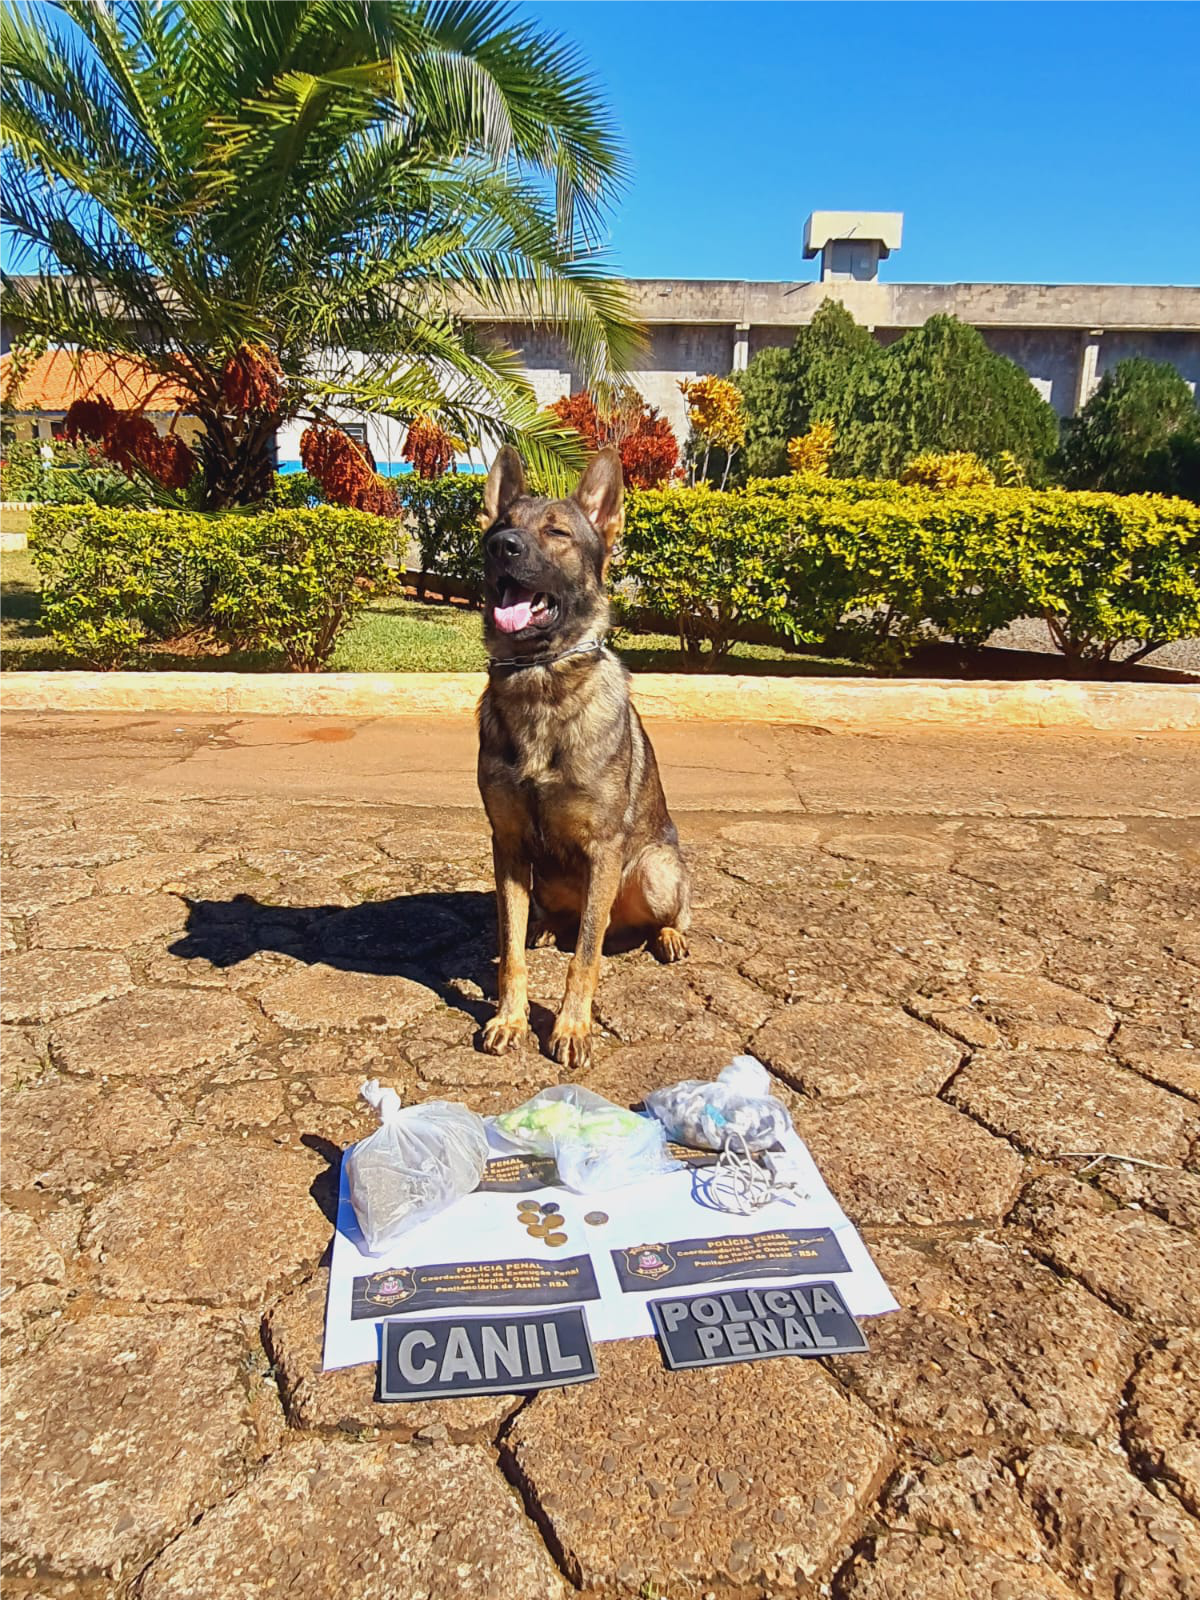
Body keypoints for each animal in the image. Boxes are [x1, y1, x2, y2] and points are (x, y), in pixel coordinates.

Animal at [476, 444, 690, 1071]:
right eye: (501, 525)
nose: (501, 547)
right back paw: (547, 927)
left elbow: (586, 959)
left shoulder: (603, 851)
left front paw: (571, 1027)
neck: (540, 680)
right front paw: (510, 1018)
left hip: (653, 869)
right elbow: (510, 952)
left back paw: (668, 936)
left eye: (556, 533)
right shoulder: (507, 844)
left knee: (650, 918)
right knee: (554, 923)